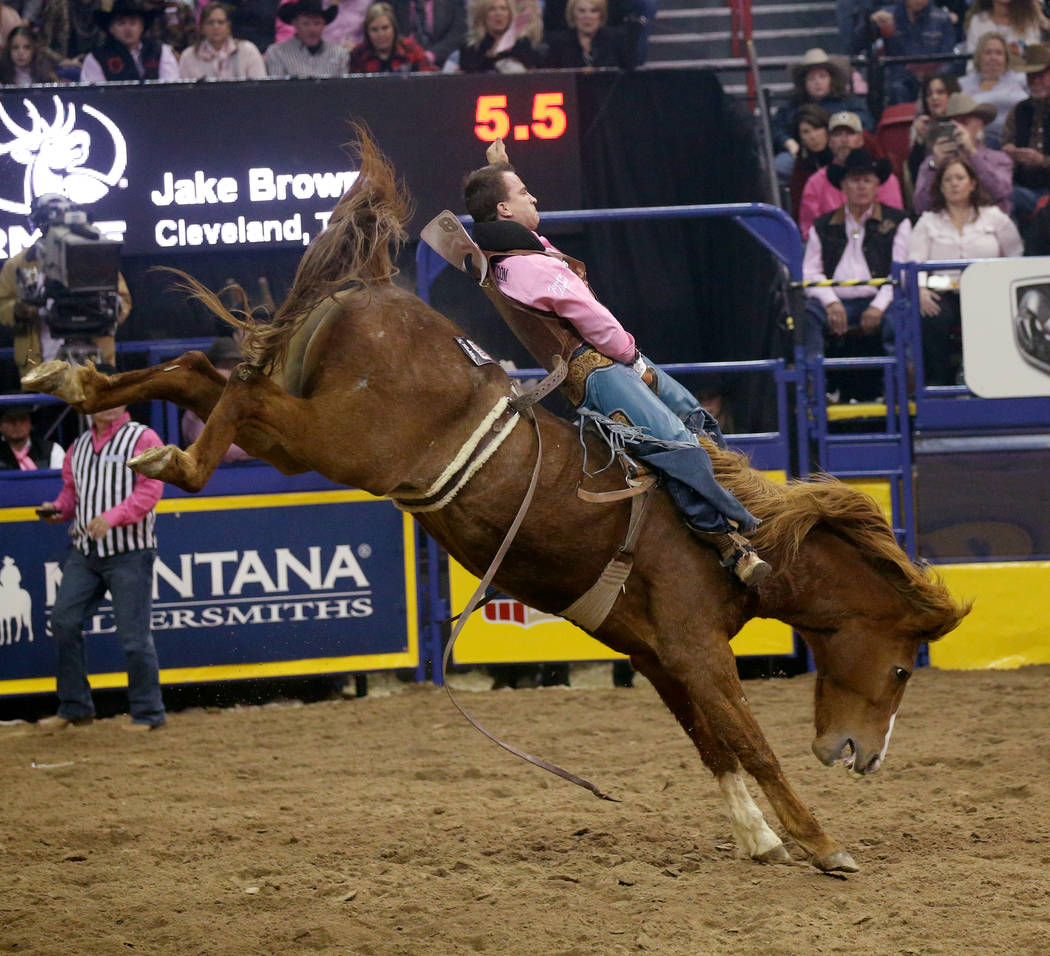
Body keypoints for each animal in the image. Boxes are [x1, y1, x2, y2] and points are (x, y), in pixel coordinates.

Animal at [24, 129, 970, 874]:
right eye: (899, 669)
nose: (858, 757)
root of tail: (375, 290)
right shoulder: (697, 647)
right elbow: (752, 743)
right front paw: (821, 844)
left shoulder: (657, 650)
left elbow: (710, 742)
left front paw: (759, 838)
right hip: (329, 439)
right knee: (236, 400)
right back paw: (173, 453)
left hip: (302, 427)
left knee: (201, 373)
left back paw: (74, 378)